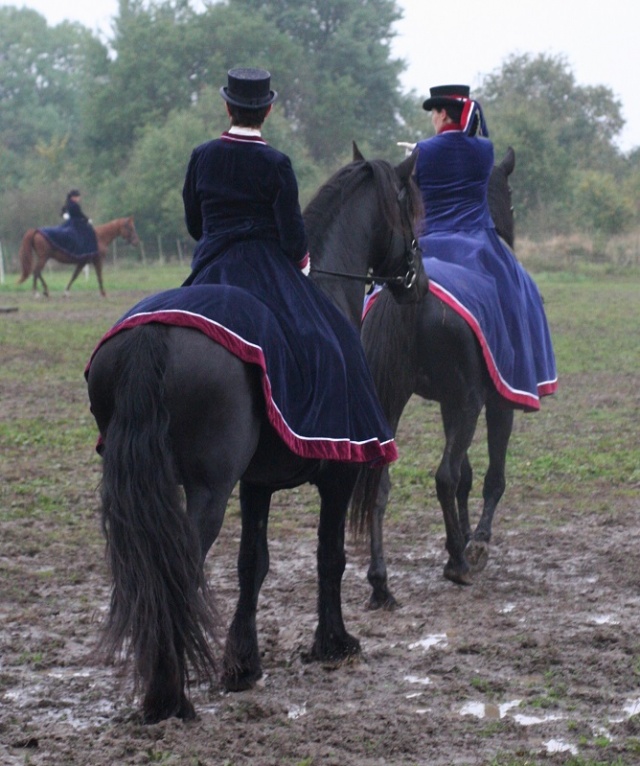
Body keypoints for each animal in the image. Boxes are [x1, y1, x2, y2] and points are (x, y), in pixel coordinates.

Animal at [84, 152, 424, 728]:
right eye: (412, 209)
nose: (417, 281)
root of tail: (155, 333)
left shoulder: (255, 484)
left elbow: (253, 564)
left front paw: (242, 663)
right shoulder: (339, 472)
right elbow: (329, 554)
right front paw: (334, 642)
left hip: (139, 486)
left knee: (147, 571)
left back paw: (160, 691)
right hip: (207, 489)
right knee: (178, 569)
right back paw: (171, 697)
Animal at [350, 148, 520, 608]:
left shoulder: (449, 402)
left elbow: (465, 476)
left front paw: (458, 538)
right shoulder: (490, 401)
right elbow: (487, 476)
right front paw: (476, 542)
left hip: (391, 401)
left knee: (382, 481)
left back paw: (380, 581)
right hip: (468, 403)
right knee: (444, 476)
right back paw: (458, 565)